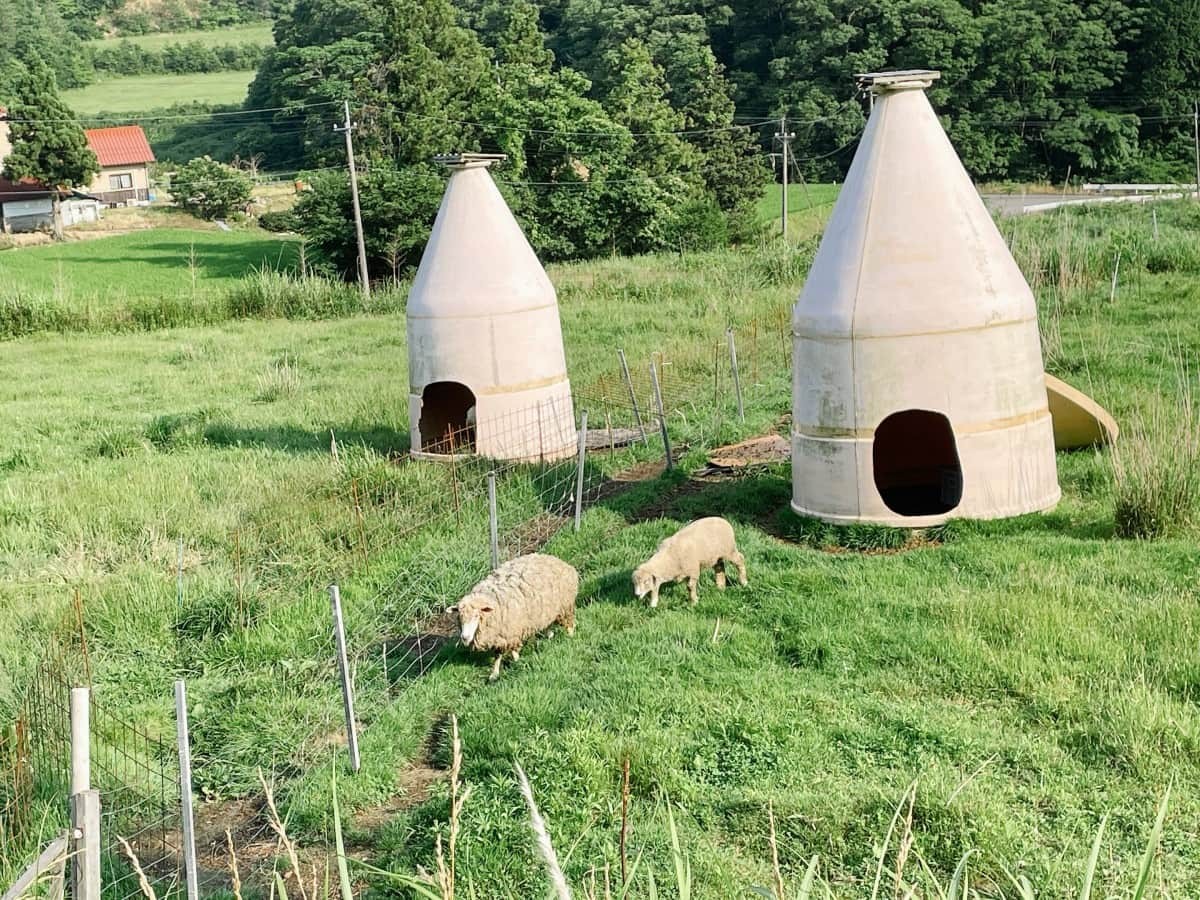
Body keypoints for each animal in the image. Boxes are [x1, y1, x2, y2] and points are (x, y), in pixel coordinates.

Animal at [451, 554, 580, 681]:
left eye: (477, 615)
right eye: (460, 617)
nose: (465, 637)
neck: (493, 601)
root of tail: (561, 562)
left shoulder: (511, 631)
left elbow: (511, 651)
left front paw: (518, 663)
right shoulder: (501, 635)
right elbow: (498, 655)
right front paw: (494, 674)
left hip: (565, 606)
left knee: (569, 624)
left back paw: (570, 637)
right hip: (547, 610)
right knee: (548, 625)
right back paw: (549, 636)